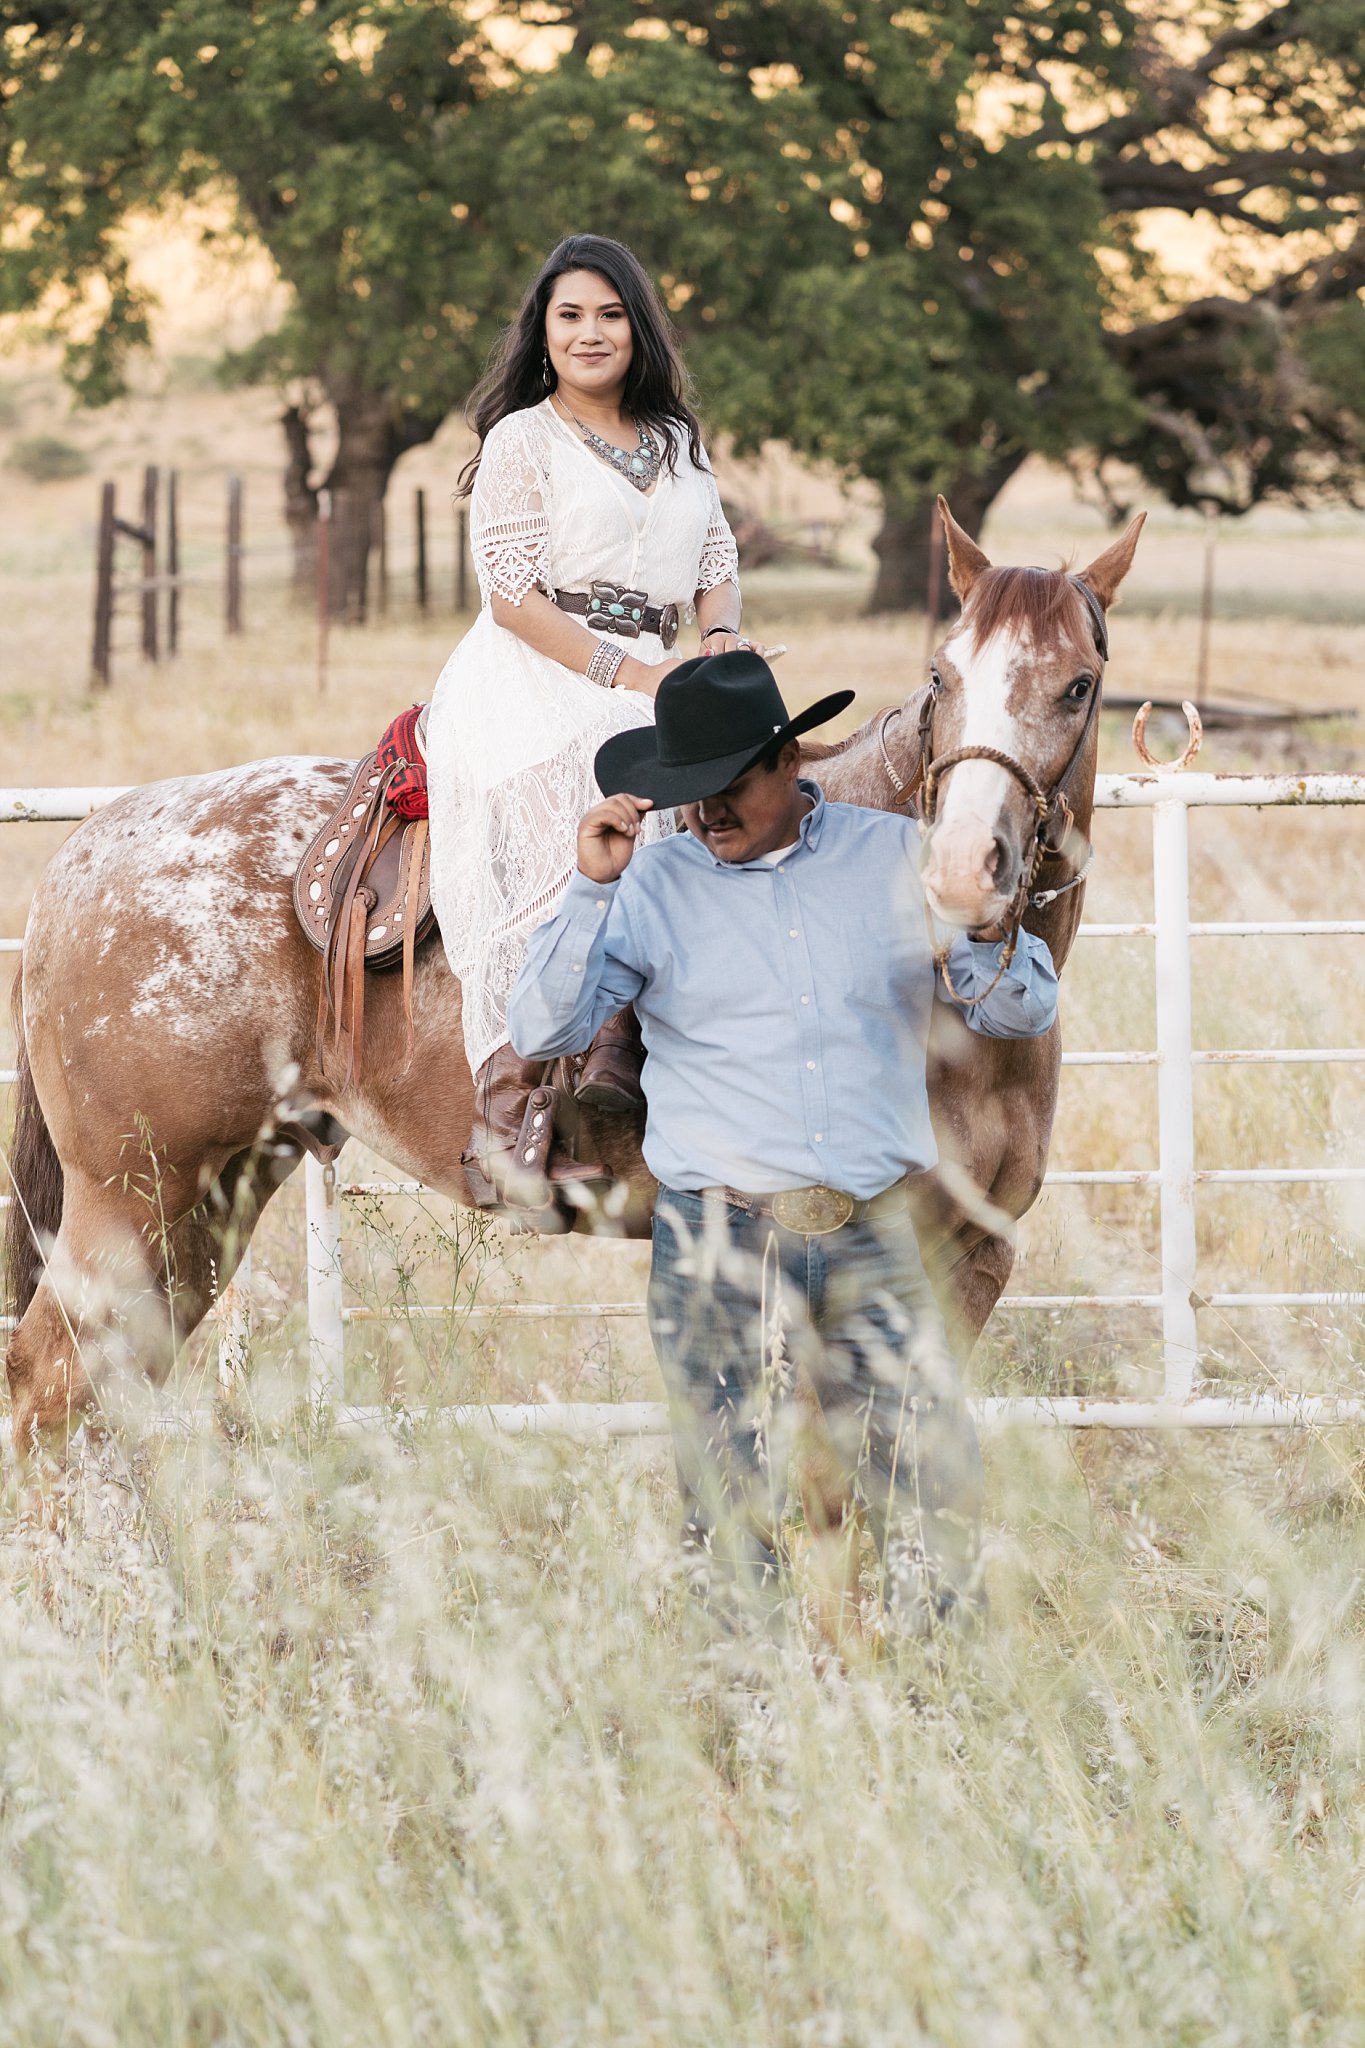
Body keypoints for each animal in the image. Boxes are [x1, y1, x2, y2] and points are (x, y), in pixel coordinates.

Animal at [5, 499, 1146, 1458]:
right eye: (944, 676)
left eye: (1078, 684)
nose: (957, 871)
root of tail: (89, 848)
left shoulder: (971, 1258)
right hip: (134, 1199)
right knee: (46, 1381)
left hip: (213, 1197)